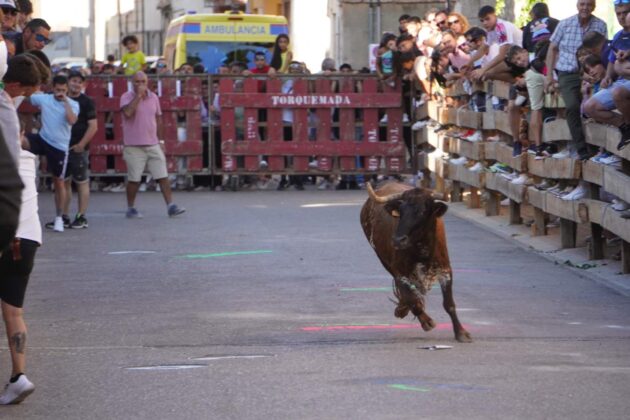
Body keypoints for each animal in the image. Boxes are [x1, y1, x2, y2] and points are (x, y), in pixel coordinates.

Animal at [362, 182, 472, 342]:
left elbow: (449, 304)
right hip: (384, 261)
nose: (398, 240)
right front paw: (426, 321)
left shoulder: (445, 270)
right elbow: (413, 301)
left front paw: (461, 333)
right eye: (400, 211)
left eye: (423, 211)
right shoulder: (400, 272)